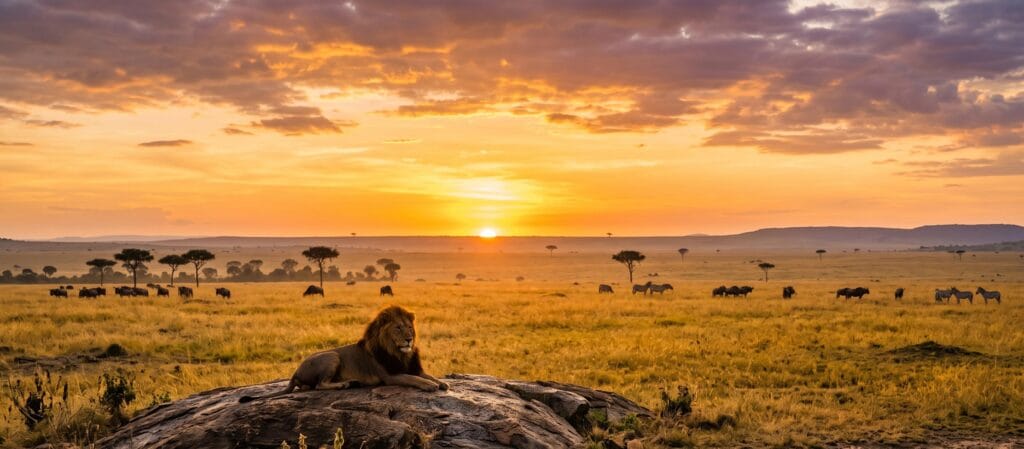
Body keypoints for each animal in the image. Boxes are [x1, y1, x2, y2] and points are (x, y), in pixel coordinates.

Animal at [239, 305, 447, 403]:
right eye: (397, 328)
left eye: (409, 328)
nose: (409, 340)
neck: (400, 353)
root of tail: (295, 373)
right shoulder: (390, 376)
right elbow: (413, 379)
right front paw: (430, 386)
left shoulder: (413, 367)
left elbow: (427, 375)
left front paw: (441, 382)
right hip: (332, 356)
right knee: (320, 385)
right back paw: (344, 384)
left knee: (310, 386)